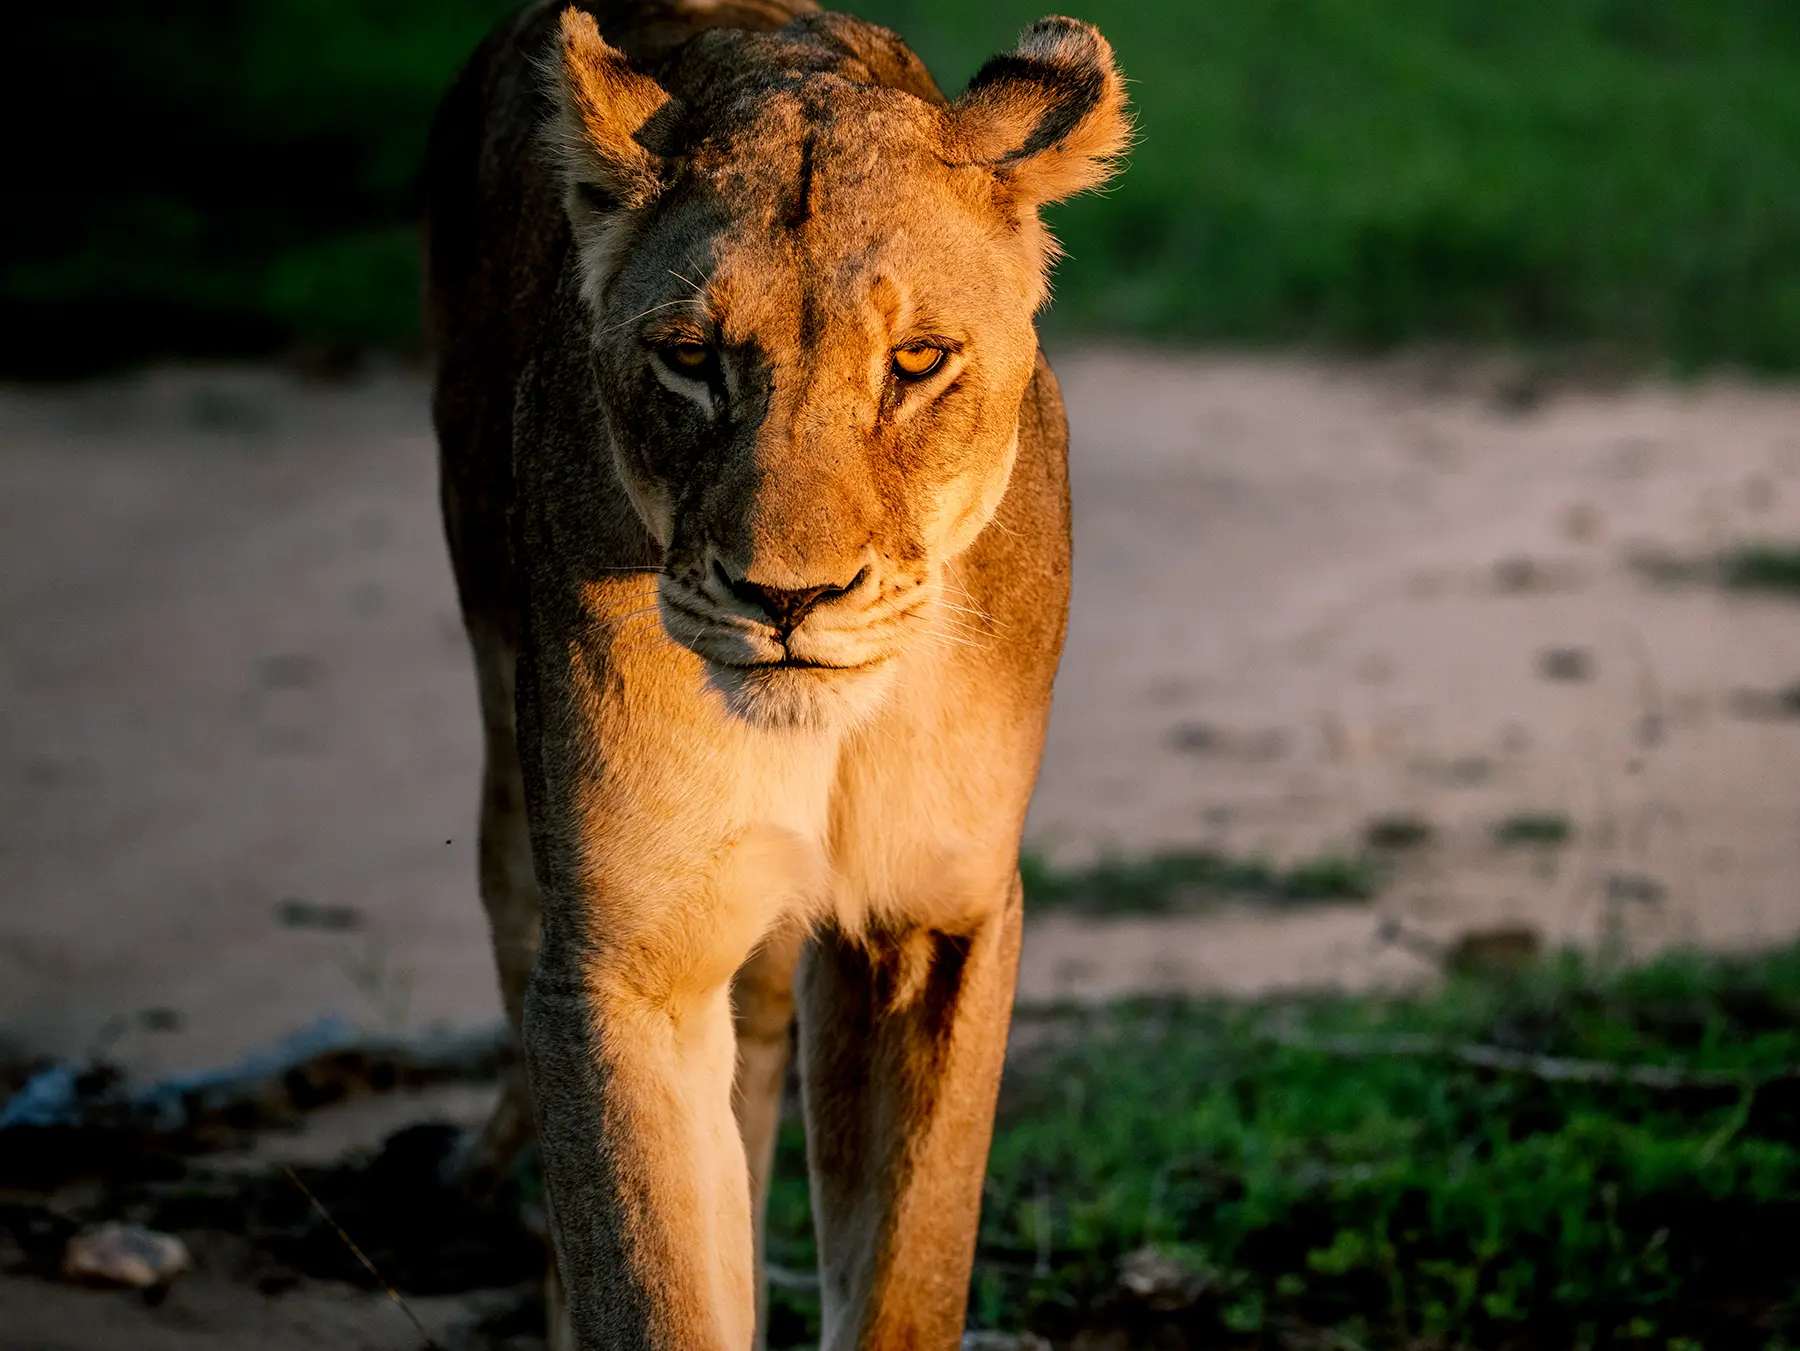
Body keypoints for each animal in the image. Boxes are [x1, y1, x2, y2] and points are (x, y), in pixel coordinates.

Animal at [422, 2, 1128, 1346]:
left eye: (917, 359)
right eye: (691, 358)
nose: (788, 598)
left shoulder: (935, 913)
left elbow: (909, 1269)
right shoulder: (625, 962)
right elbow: (650, 1283)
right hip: (507, 788)